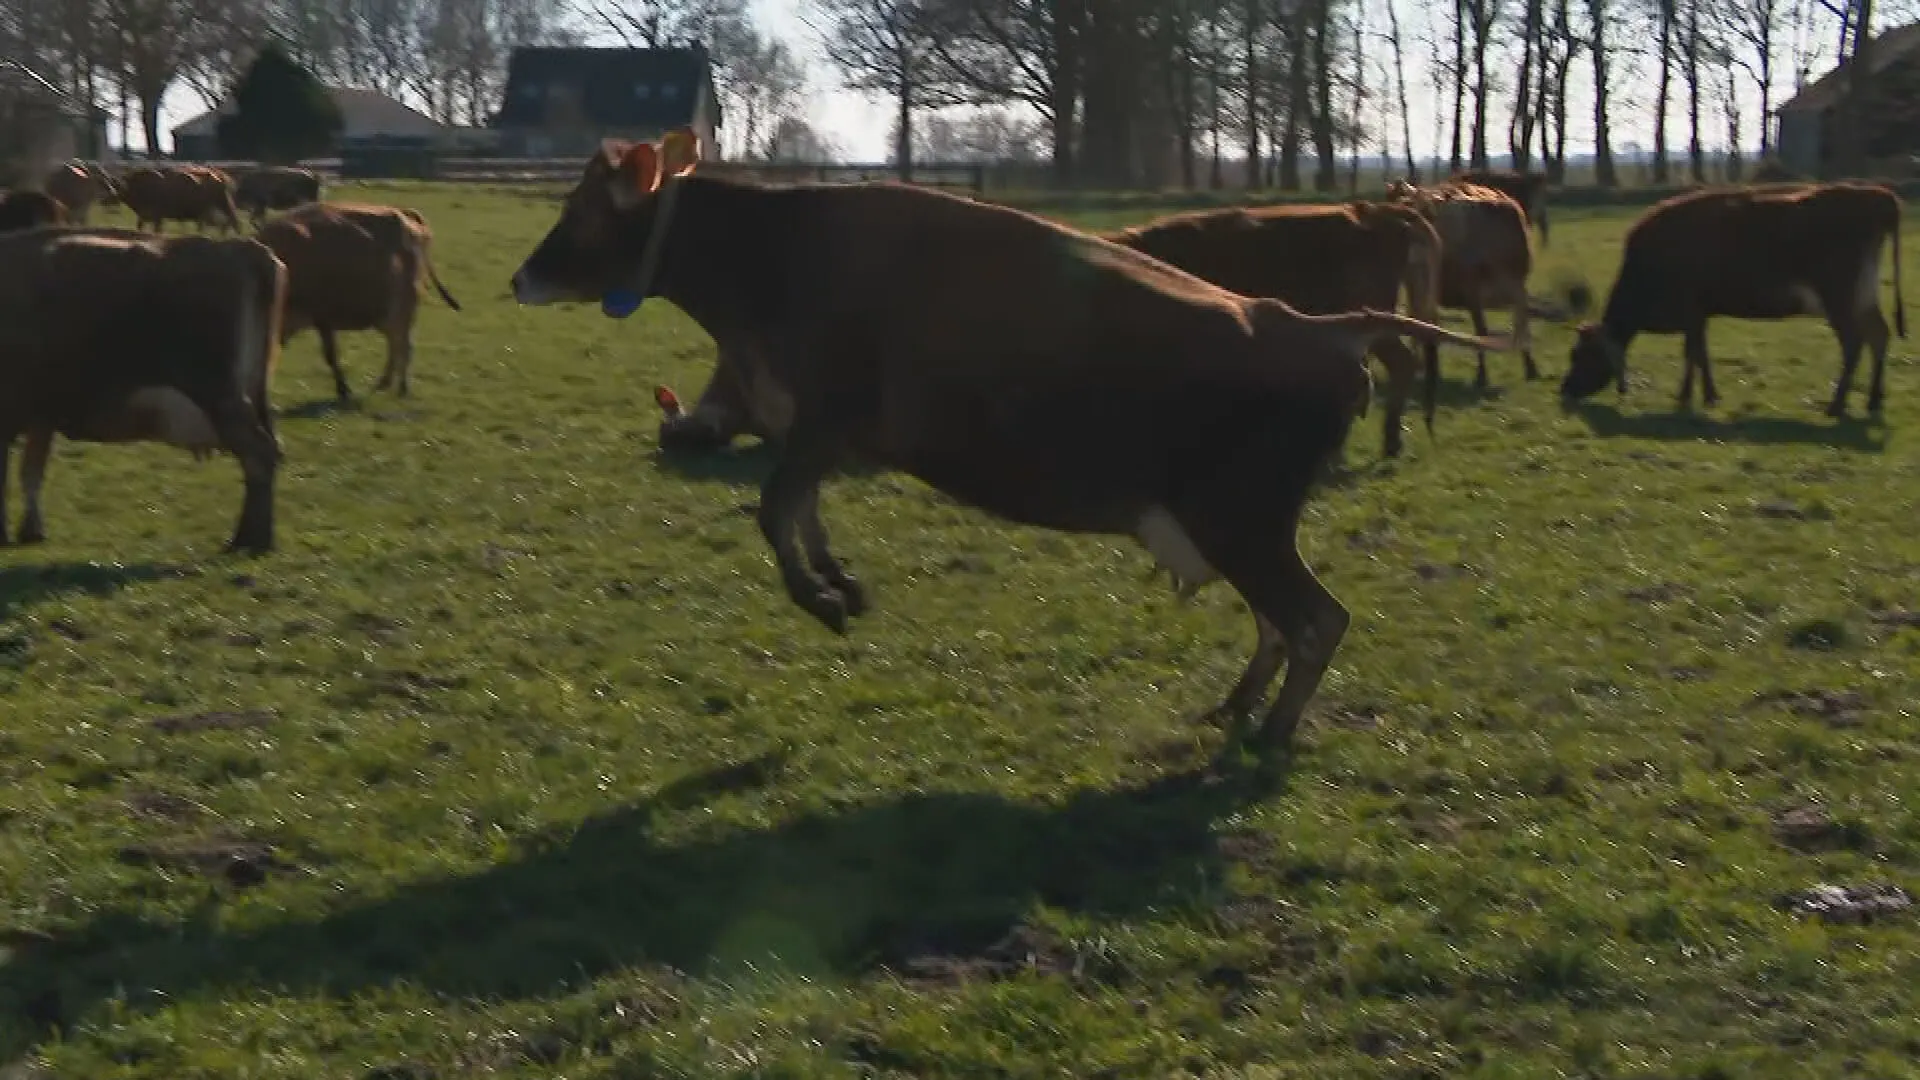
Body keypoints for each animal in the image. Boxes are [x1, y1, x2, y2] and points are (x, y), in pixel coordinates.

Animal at [0, 227, 287, 552]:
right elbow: (31, 470)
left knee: (259, 454)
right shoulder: (41, 414)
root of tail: (238, 247)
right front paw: (31, 531)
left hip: (220, 396)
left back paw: (250, 541)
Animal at [254, 201, 463, 400]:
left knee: (405, 344)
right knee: (395, 343)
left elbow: (330, 355)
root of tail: (406, 214)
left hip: (404, 306)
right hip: (385, 313)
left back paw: (403, 387)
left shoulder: (322, 316)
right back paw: (384, 383)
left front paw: (343, 390)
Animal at [508, 129, 1511, 760]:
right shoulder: (821, 433)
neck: (776, 256)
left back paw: (1268, 731)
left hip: (1245, 520)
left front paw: (824, 599)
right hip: (1241, 525)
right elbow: (801, 508)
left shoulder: (828, 418)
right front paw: (843, 584)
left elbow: (773, 508)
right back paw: (1234, 708)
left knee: (1315, 619)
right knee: (1279, 623)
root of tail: (1319, 327)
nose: (521, 277)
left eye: (584, 209)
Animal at [1562, 181, 1908, 417]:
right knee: (1879, 335)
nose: (1565, 390)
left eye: (1579, 354)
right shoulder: (1699, 314)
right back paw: (1874, 399)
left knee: (1854, 344)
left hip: (1840, 297)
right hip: (1863, 295)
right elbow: (1700, 353)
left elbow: (1692, 353)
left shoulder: (1690, 310)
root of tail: (1876, 195)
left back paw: (1836, 405)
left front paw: (1688, 397)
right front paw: (1707, 395)